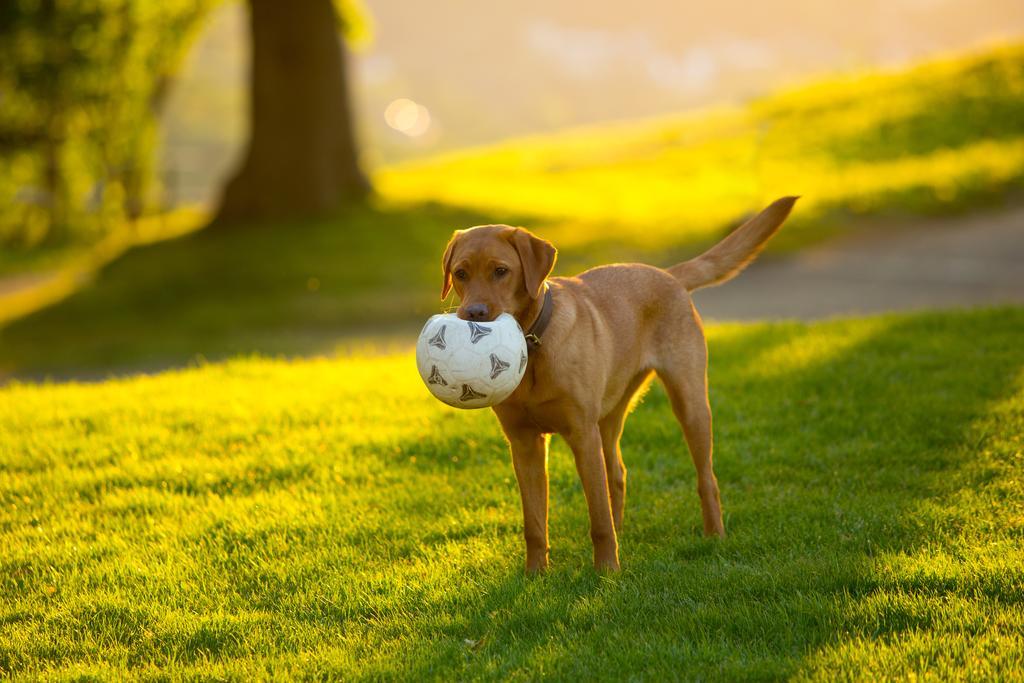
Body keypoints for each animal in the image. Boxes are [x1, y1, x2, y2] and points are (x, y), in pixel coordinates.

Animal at [440, 197, 798, 573]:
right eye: (461, 273)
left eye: (501, 271)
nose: (474, 313)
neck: (533, 345)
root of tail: (668, 274)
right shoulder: (524, 443)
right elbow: (535, 523)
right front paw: (535, 575)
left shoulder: (582, 435)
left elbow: (597, 518)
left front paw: (607, 572)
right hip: (609, 418)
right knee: (617, 474)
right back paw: (622, 531)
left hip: (689, 404)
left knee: (705, 478)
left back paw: (714, 535)